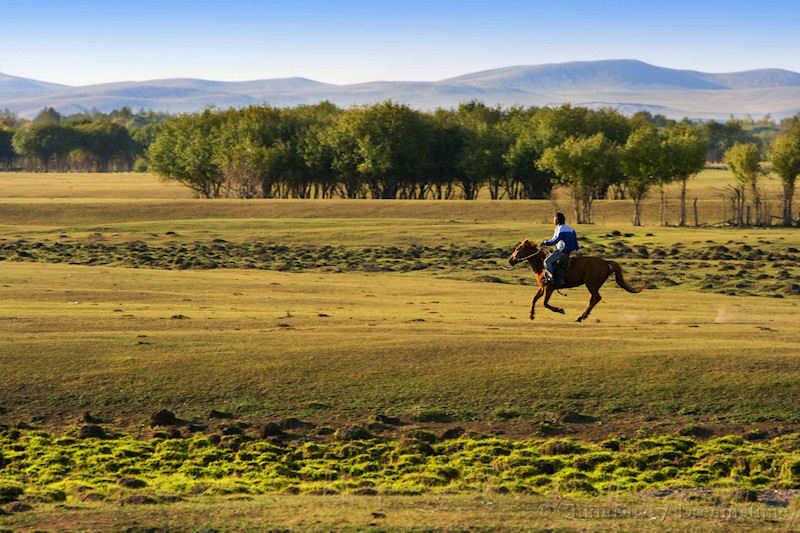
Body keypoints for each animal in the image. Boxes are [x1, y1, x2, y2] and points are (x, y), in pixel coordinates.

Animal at [506, 240, 644, 322]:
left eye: (518, 248)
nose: (510, 260)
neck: (541, 265)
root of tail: (605, 262)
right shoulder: (543, 287)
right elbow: (534, 299)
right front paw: (531, 315)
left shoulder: (549, 288)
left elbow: (545, 303)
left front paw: (560, 310)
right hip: (592, 286)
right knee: (593, 299)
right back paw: (582, 316)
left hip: (591, 284)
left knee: (596, 298)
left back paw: (581, 317)